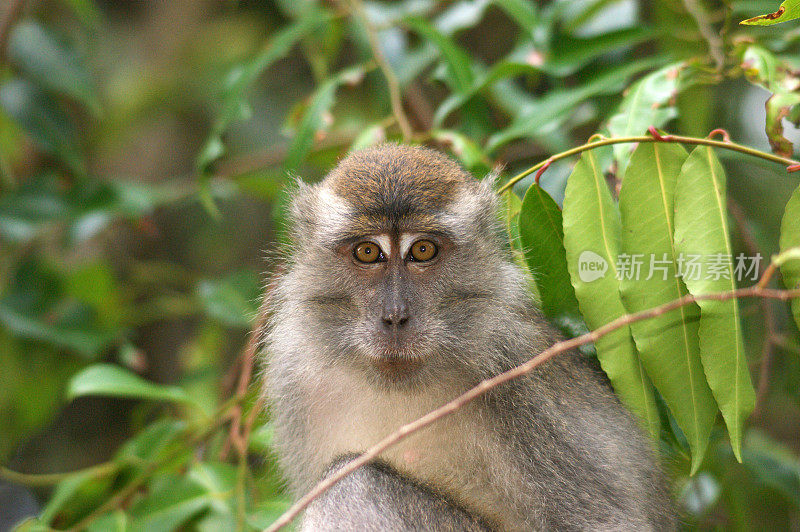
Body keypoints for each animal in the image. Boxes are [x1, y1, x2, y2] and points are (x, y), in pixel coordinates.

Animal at [264, 143, 676, 528]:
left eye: (422, 250)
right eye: (367, 252)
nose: (395, 317)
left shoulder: (514, 374)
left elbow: (606, 520)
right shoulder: (292, 372)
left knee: (350, 485)